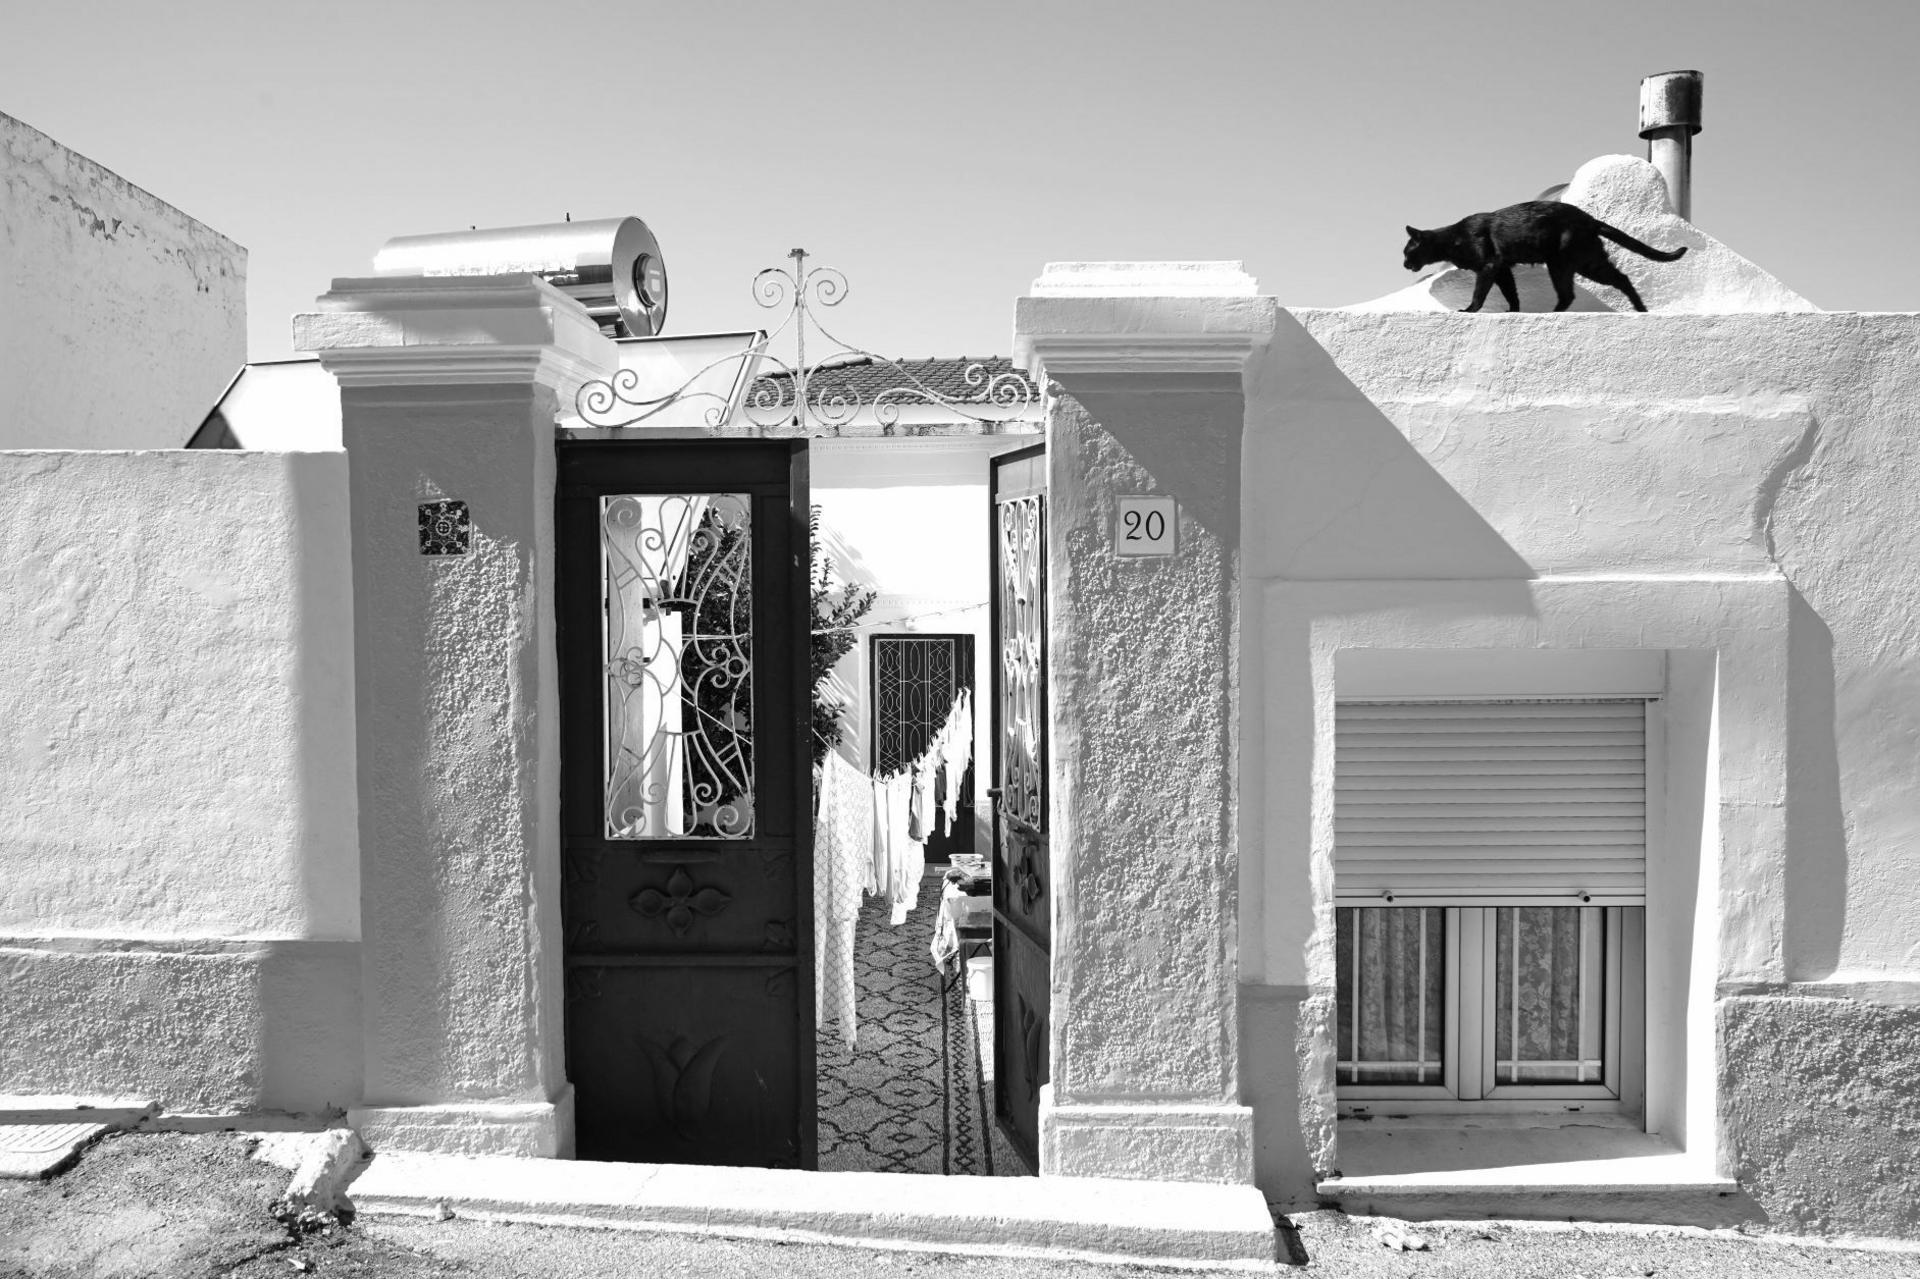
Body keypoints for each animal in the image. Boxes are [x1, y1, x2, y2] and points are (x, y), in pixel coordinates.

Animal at [1405, 204, 1689, 316]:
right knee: (1617, 279)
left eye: (1407, 252)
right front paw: (1514, 311)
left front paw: (1470, 310)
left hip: (1566, 263)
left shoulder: (1489, 266)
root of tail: (1589, 219)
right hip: (1585, 263)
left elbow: (1479, 293)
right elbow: (1511, 292)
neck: (1453, 238)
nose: (1405, 265)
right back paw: (1640, 309)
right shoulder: (1502, 268)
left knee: (1576, 292)